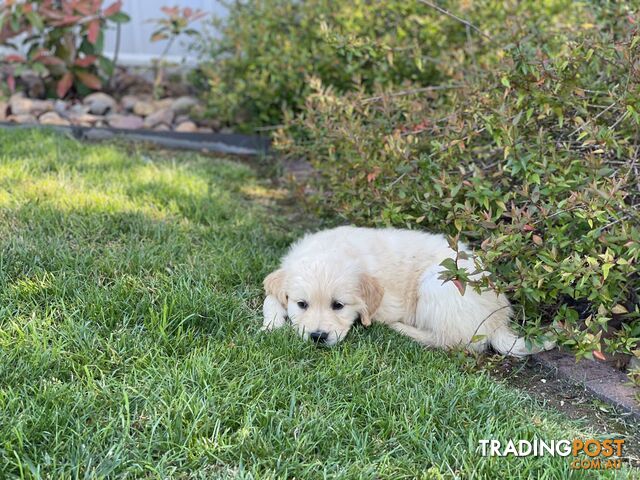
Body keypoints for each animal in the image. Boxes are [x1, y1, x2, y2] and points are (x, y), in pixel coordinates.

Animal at [262, 226, 552, 356]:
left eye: (338, 306)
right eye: (302, 304)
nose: (318, 337)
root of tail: (499, 320)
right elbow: (270, 297)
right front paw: (272, 324)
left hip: (438, 282)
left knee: (453, 340)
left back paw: (403, 329)